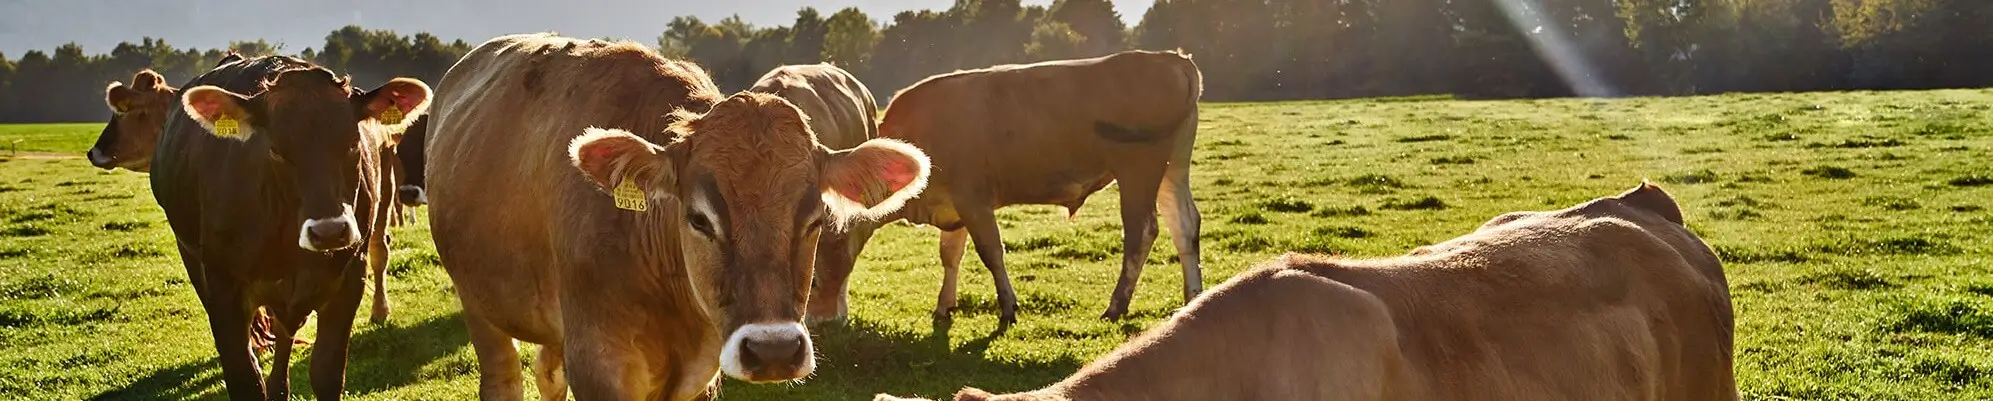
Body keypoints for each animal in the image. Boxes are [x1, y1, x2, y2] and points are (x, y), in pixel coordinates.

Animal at [152, 54, 428, 399]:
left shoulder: (349, 280)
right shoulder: (223, 287)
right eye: (275, 150)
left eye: (353, 143)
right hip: (191, 255)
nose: (329, 231)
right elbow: (245, 379)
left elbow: (325, 373)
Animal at [428, 32, 924, 401]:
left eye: (815, 220)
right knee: (503, 377)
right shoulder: (598, 361)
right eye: (699, 219)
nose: (774, 350)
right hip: (478, 302)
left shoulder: (700, 373)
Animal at [813, 50, 1211, 325]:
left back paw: (1116, 306)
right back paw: (1193, 298)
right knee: (1185, 225)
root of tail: (1171, 59)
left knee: (1142, 232)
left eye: (814, 272)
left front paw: (1007, 307)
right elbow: (950, 255)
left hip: (1138, 169)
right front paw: (945, 305)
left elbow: (991, 252)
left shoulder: (973, 199)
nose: (820, 320)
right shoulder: (953, 206)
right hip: (1172, 168)